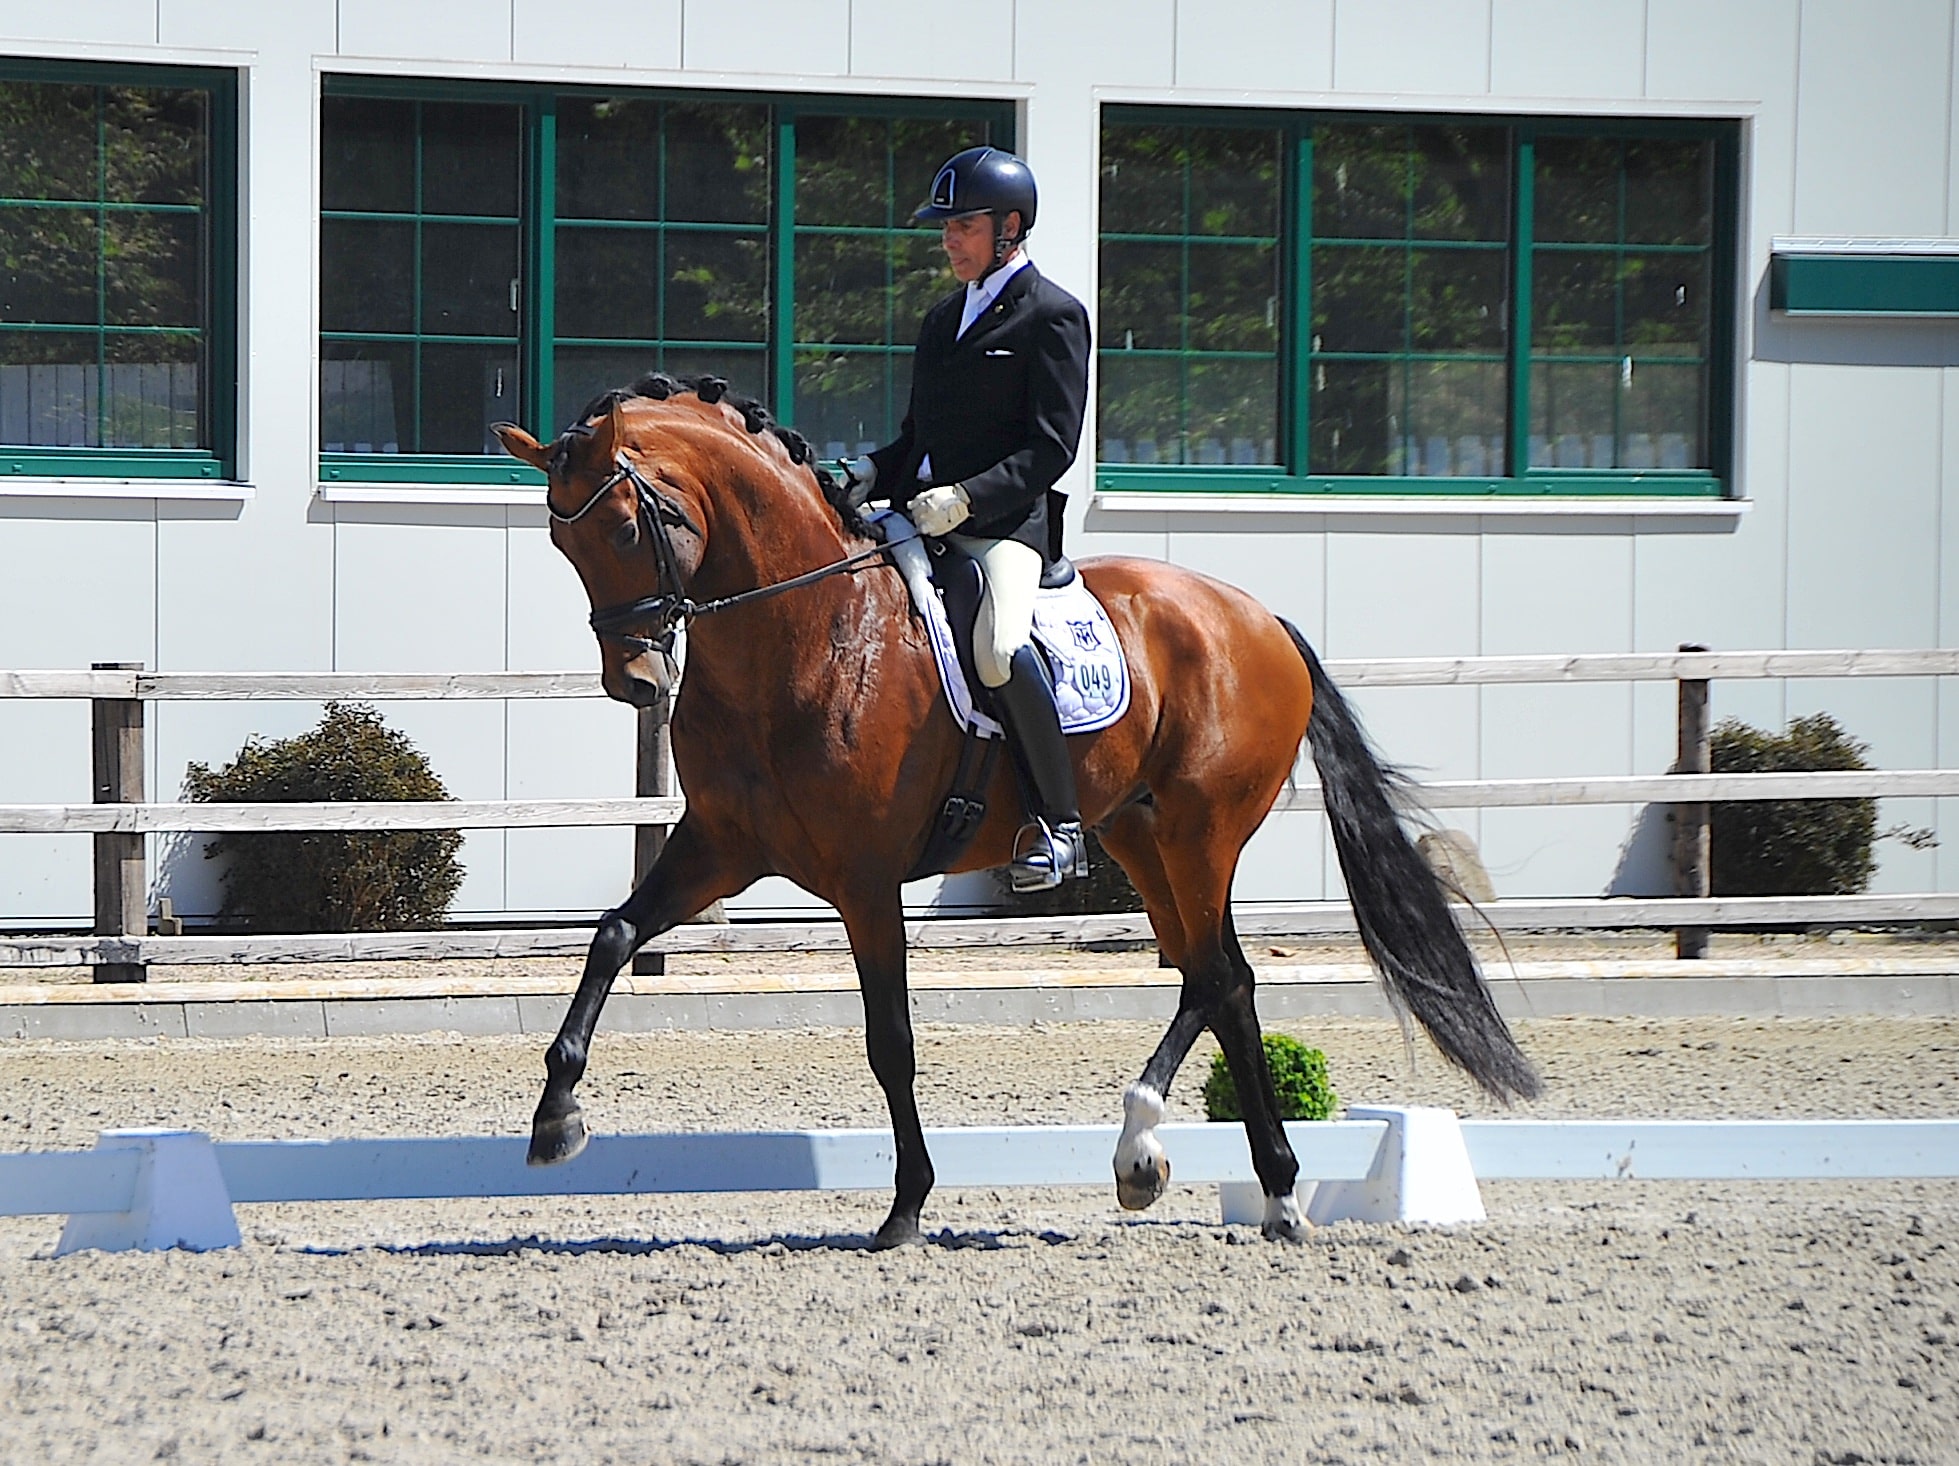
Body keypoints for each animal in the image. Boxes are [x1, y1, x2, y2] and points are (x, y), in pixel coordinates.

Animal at [489, 374, 1528, 1246]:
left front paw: (906, 1207)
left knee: (1220, 977)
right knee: (1214, 978)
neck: (803, 633)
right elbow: (614, 934)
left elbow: (891, 1041)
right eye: (561, 541)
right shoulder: (720, 845)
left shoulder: (865, 880)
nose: (634, 681)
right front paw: (556, 1118)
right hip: (1136, 835)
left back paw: (1198, 1166)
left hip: (1200, 832)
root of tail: (1257, 617)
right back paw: (1223, 1180)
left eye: (626, 530)